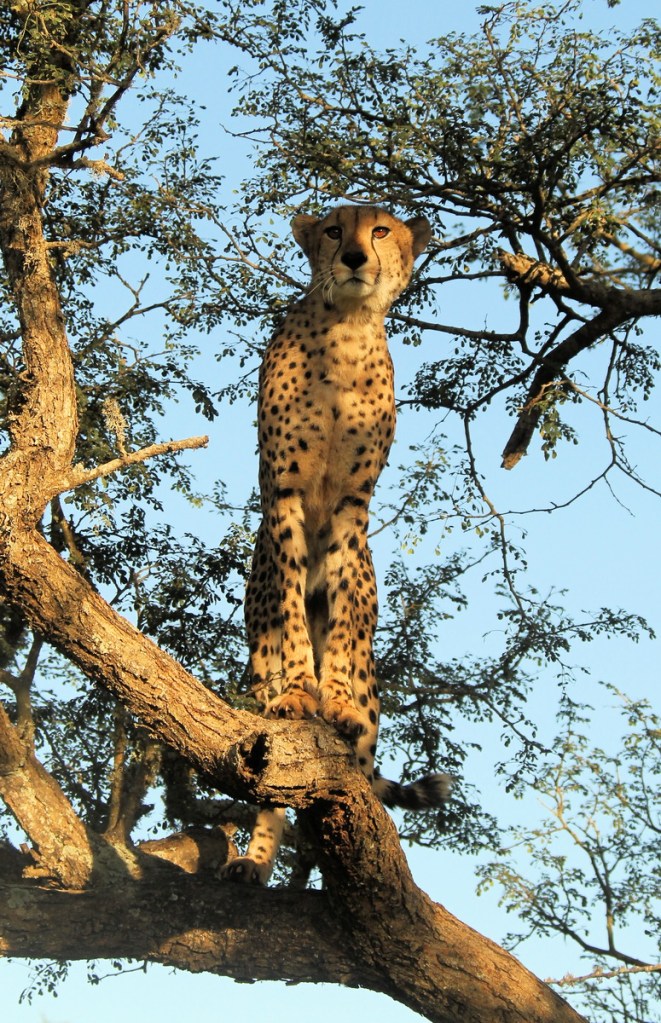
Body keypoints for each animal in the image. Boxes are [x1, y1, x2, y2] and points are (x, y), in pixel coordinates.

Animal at [223, 205, 451, 885]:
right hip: (257, 666)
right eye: (333, 230)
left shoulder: (354, 506)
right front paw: (304, 692)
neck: (346, 331)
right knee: (272, 783)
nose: (353, 257)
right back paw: (256, 860)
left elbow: (347, 621)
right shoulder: (285, 492)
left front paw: (338, 701)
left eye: (381, 231)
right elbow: (293, 614)